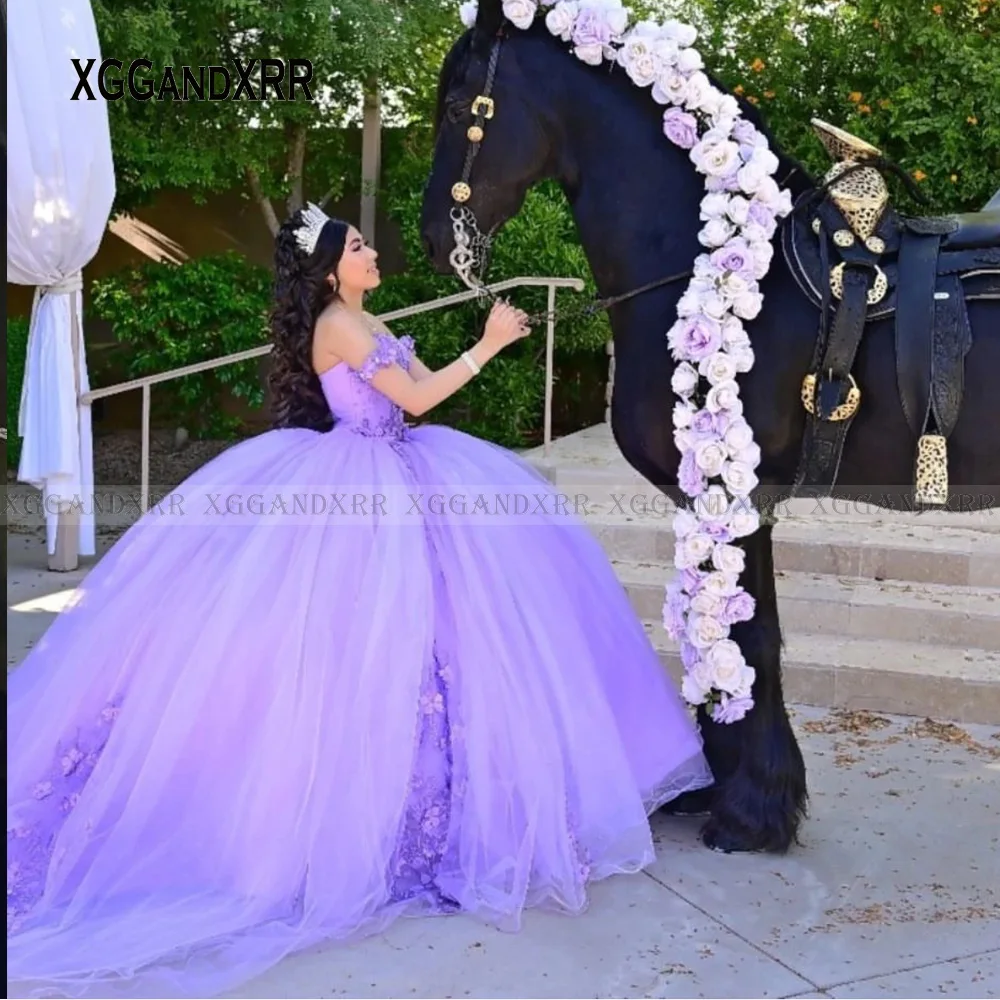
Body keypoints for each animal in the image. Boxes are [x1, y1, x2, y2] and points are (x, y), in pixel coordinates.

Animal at [420, 3, 1000, 856]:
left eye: (463, 103)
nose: (434, 238)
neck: (703, 261)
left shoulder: (737, 497)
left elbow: (747, 638)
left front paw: (751, 811)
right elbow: (721, 631)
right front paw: (714, 784)